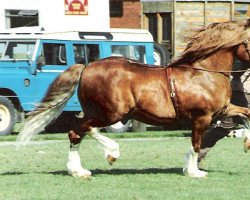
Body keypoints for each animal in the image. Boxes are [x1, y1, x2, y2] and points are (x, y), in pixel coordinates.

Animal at [18, 19, 250, 178]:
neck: (203, 73)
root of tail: (87, 67)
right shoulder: (202, 118)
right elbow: (196, 144)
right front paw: (194, 172)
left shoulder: (222, 111)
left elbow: (246, 114)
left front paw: (247, 143)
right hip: (112, 113)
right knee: (84, 129)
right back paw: (110, 154)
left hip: (98, 112)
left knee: (77, 133)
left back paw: (79, 170)